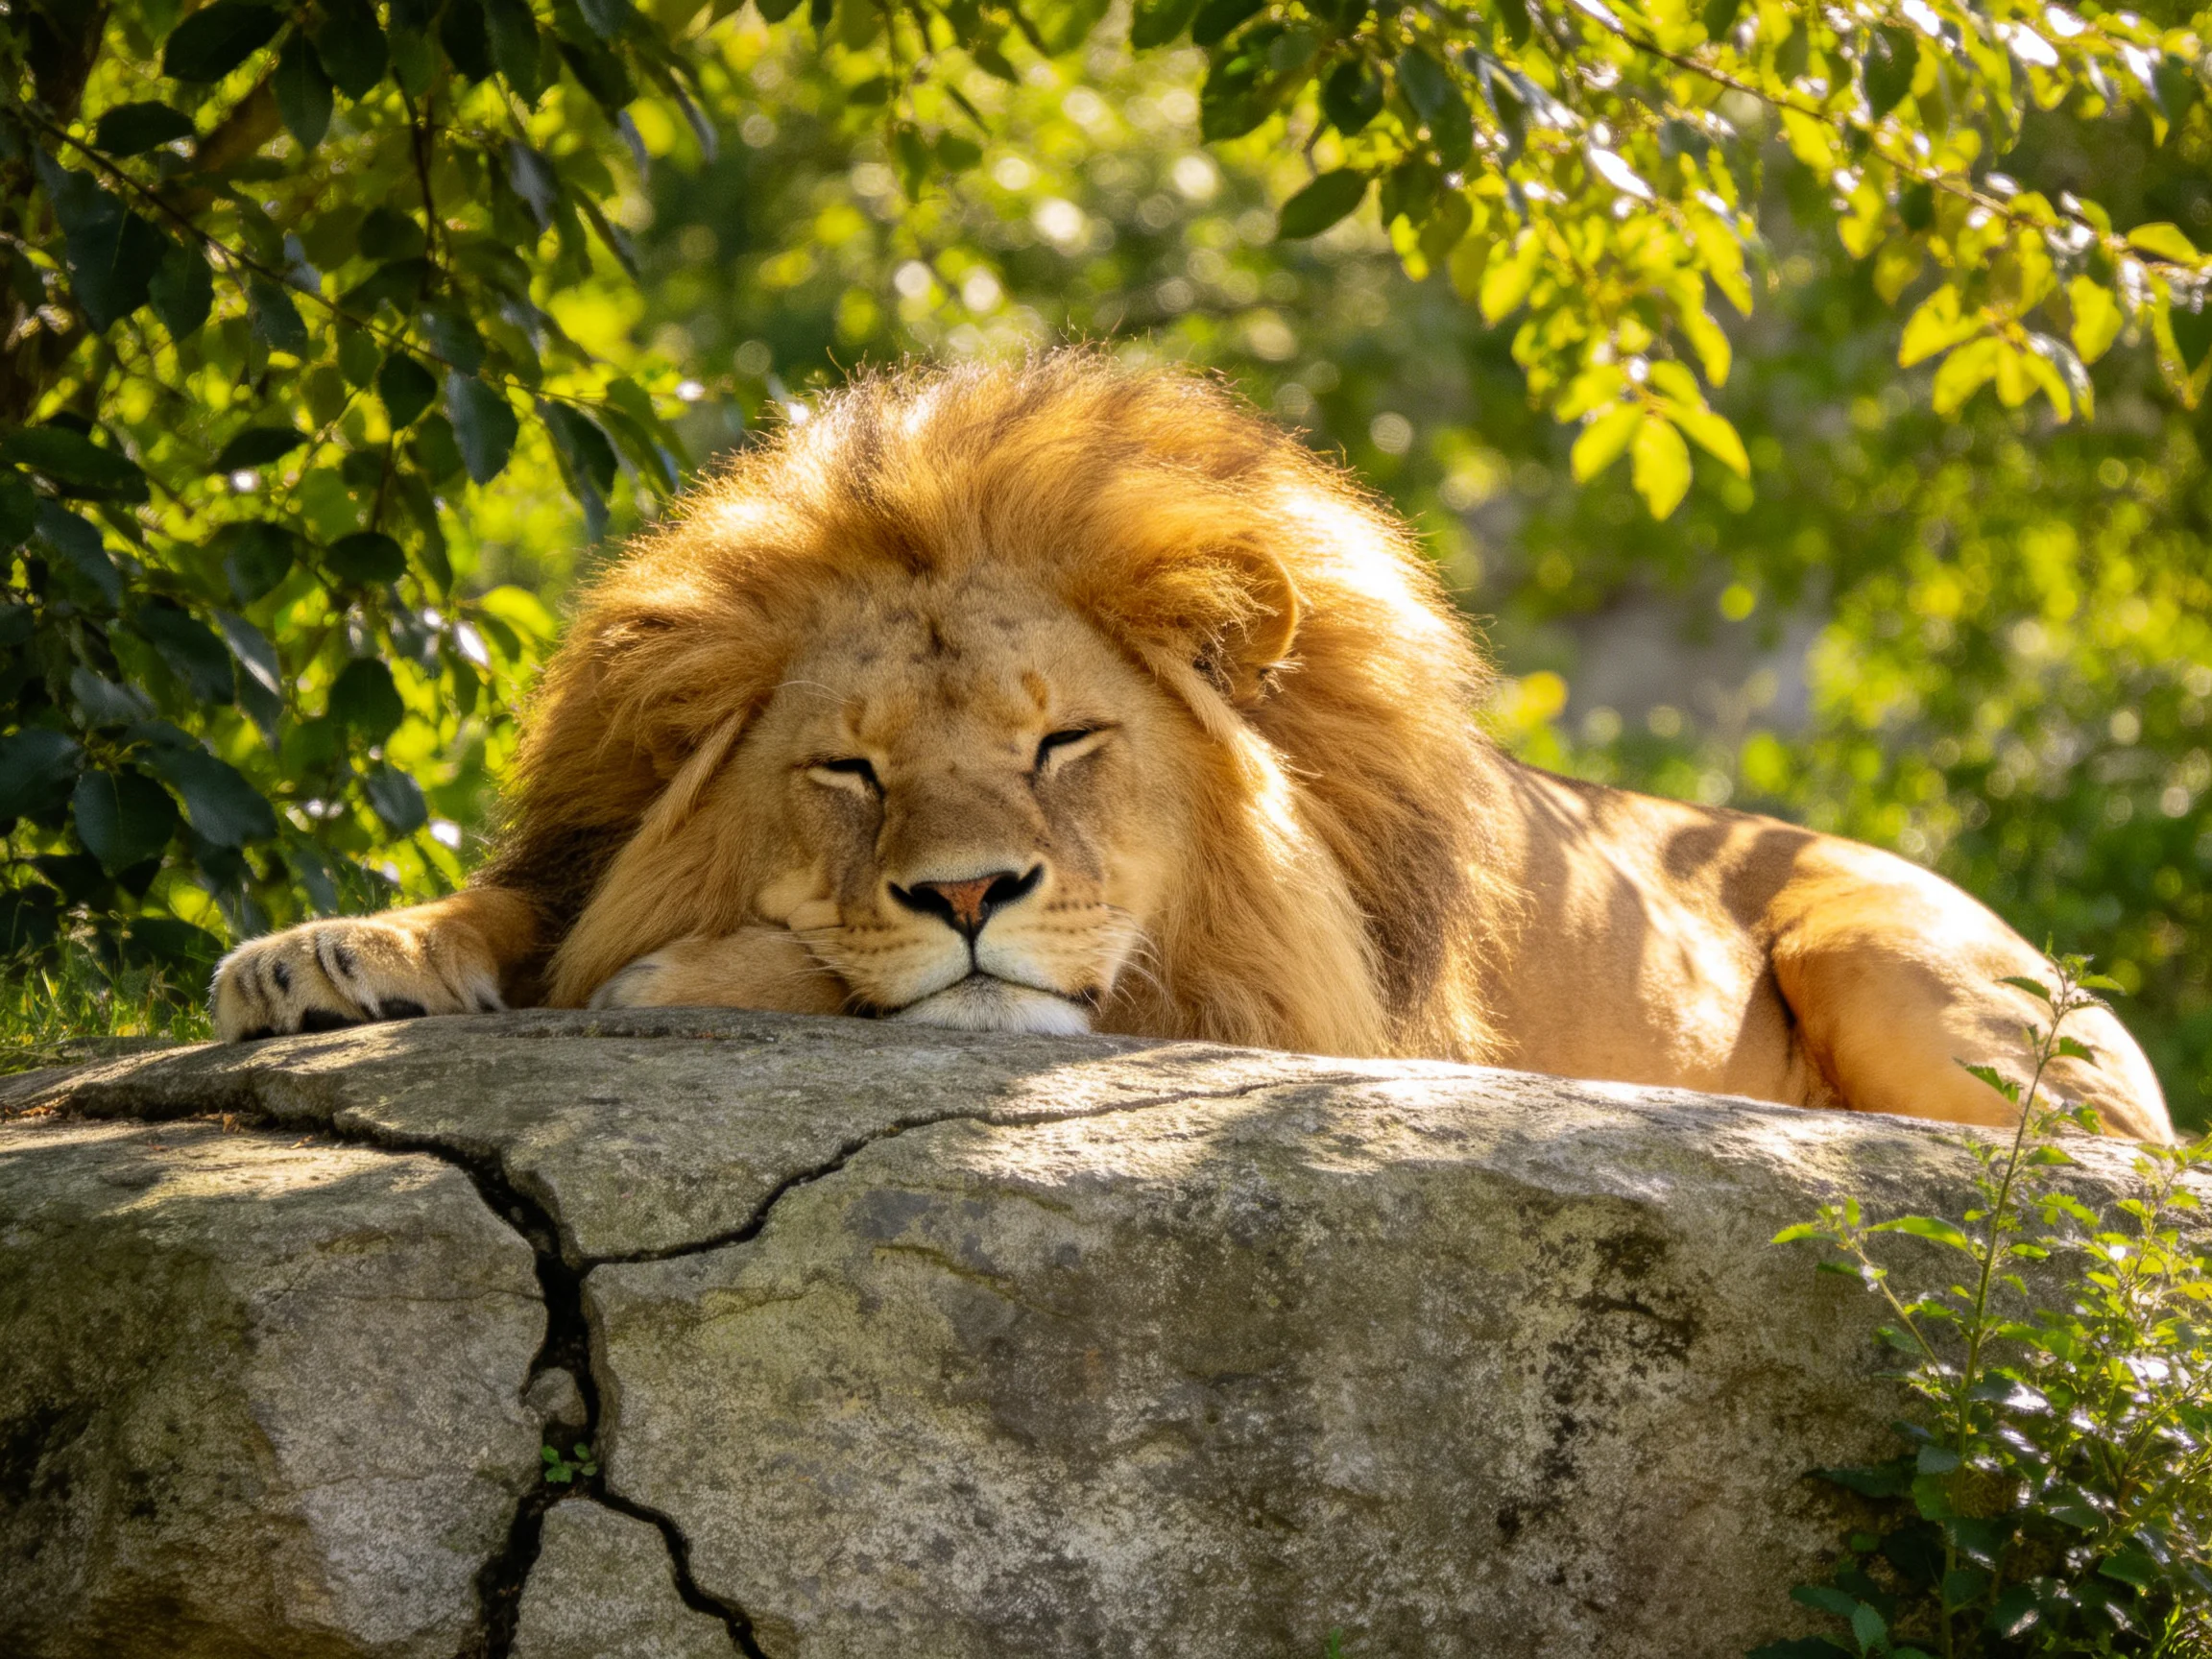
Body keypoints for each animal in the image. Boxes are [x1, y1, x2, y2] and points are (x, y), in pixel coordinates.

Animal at [210, 352, 2171, 1140]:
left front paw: (679, 972)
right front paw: (324, 952)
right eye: (846, 769)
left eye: (1065, 741)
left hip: (1896, 964)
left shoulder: (1276, 997)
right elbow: (509, 904)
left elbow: (768, 972)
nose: (968, 894)